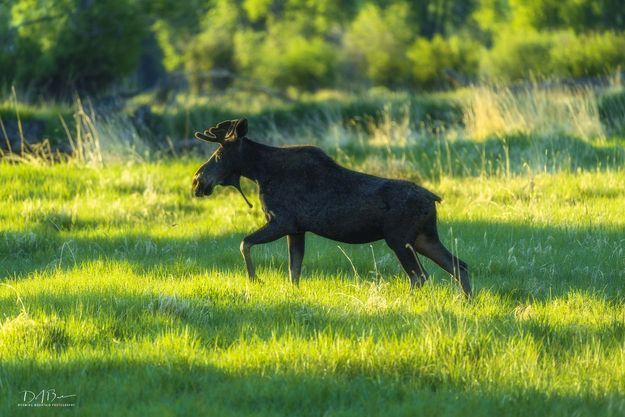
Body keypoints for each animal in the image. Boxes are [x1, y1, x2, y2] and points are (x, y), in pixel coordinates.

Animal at [193, 117, 470, 296]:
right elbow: (294, 271)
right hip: (423, 237)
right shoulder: (297, 229)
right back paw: (466, 302)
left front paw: (255, 280)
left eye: (219, 154)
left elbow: (244, 243)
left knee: (420, 276)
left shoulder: (282, 221)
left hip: (399, 239)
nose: (197, 181)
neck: (259, 172)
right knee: (459, 266)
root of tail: (433, 198)